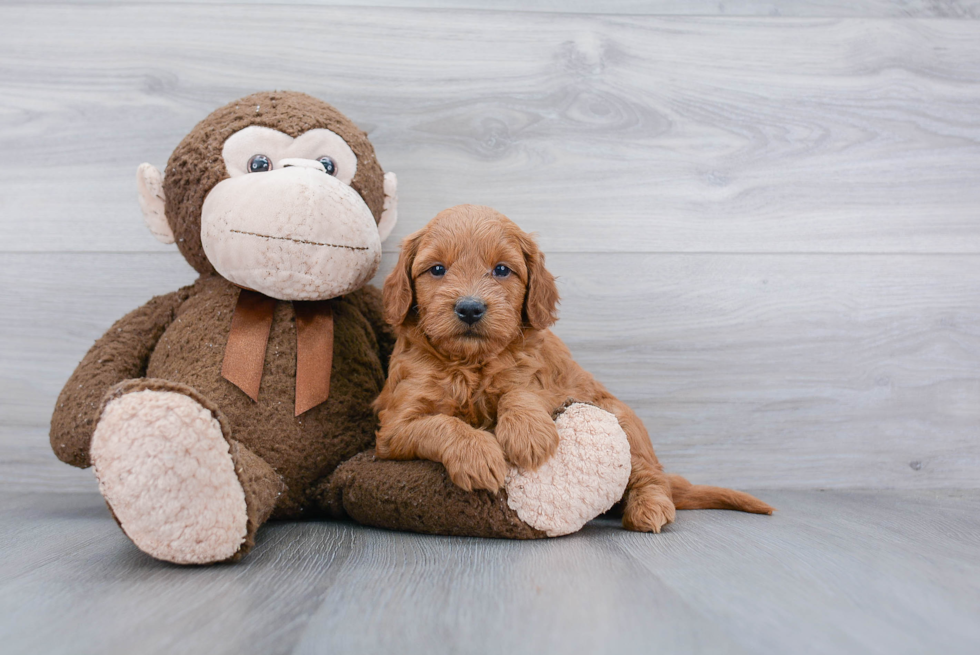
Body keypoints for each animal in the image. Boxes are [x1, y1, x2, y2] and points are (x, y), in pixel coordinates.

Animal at [376, 204, 772, 532]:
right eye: (437, 269)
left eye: (502, 270)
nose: (470, 308)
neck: (471, 363)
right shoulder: (393, 428)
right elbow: (439, 424)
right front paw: (478, 454)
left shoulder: (551, 385)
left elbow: (519, 391)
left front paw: (528, 433)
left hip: (624, 423)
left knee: (651, 476)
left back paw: (649, 508)